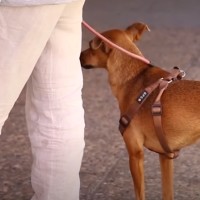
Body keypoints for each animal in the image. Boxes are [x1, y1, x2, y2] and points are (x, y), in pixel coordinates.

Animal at [79, 22, 200, 199]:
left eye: (90, 45)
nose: (79, 56)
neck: (134, 76)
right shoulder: (165, 156)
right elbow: (167, 192)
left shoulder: (135, 154)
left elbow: (140, 193)